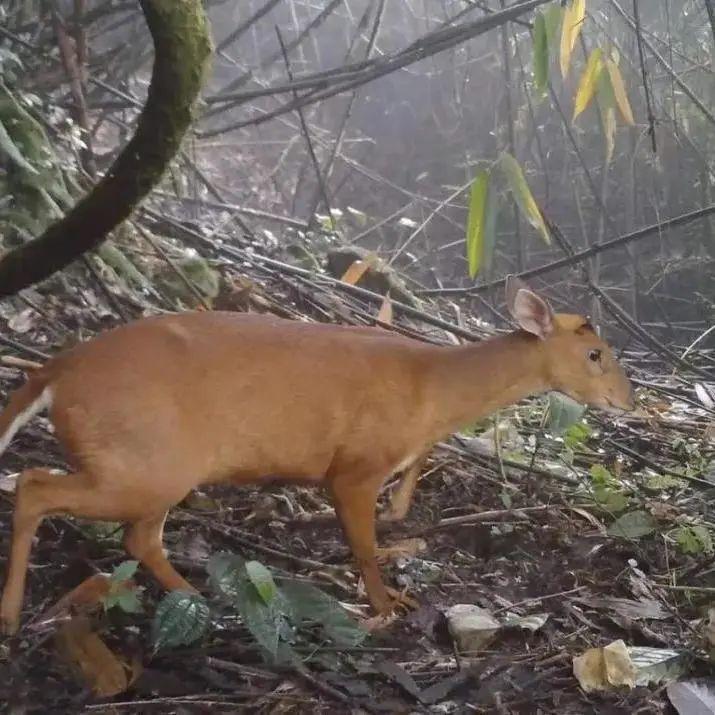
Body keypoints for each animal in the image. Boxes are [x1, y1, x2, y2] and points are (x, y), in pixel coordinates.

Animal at [0, 276, 636, 636]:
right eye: (596, 354)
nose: (627, 399)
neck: (432, 389)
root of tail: (55, 373)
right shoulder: (354, 467)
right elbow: (365, 548)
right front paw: (387, 607)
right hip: (142, 460)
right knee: (32, 485)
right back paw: (10, 613)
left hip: (157, 466)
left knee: (138, 537)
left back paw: (199, 598)